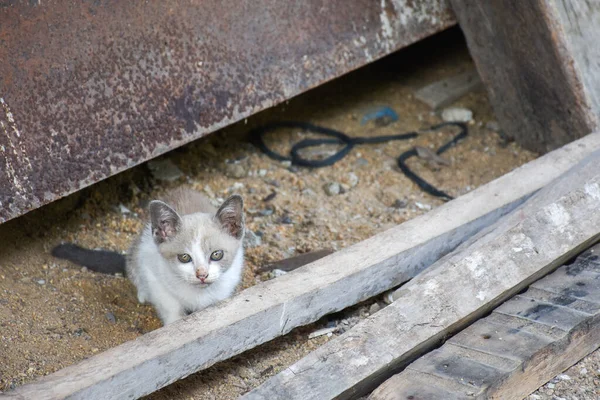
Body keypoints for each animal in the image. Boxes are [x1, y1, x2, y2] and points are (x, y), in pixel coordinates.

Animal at [52, 188, 245, 324]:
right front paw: (175, 322)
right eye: (184, 257)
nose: (202, 275)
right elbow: (169, 305)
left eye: (217, 254)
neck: (198, 294)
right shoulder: (152, 269)